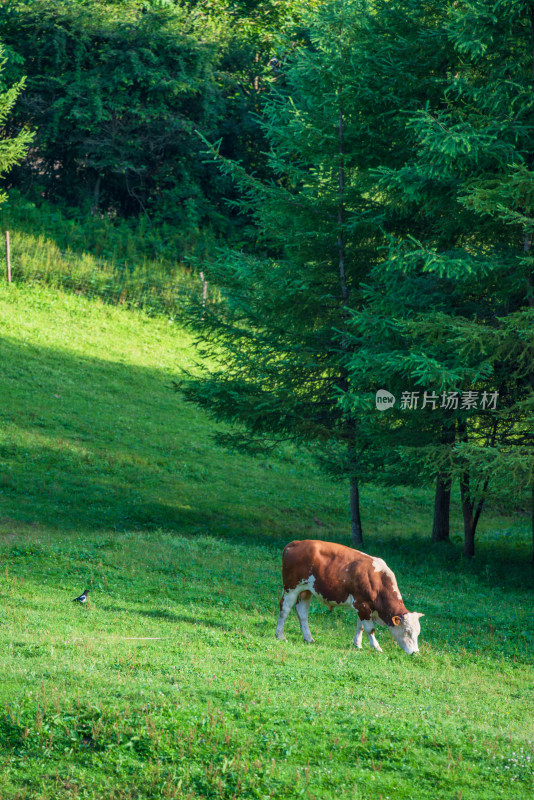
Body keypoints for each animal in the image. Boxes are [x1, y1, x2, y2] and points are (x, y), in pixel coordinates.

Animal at [278, 536, 426, 656]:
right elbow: (370, 629)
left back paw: (308, 638)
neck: (378, 580)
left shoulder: (363, 607)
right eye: (406, 631)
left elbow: (361, 627)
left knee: (302, 613)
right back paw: (280, 635)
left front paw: (358, 644)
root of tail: (296, 543)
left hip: (306, 591)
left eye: (418, 633)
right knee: (284, 609)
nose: (415, 652)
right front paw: (376, 647)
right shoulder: (362, 605)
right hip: (291, 588)